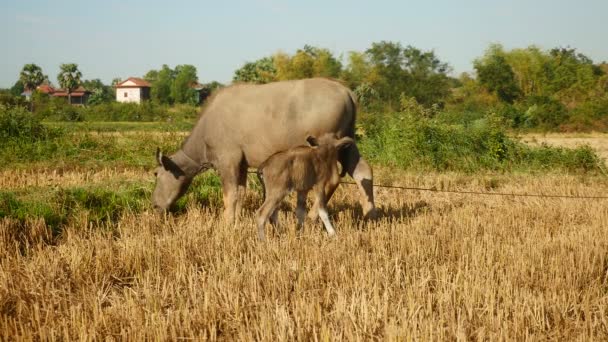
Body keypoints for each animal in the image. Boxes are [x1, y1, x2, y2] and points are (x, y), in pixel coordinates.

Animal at [152, 77, 376, 222]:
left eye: (156, 174)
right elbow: (241, 193)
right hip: (347, 143)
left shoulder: (228, 161)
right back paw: (371, 214)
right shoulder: (241, 165)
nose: (154, 205)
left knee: (332, 180)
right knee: (362, 172)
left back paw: (313, 217)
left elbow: (230, 195)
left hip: (325, 147)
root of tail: (346, 92)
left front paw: (226, 222)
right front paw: (237, 219)